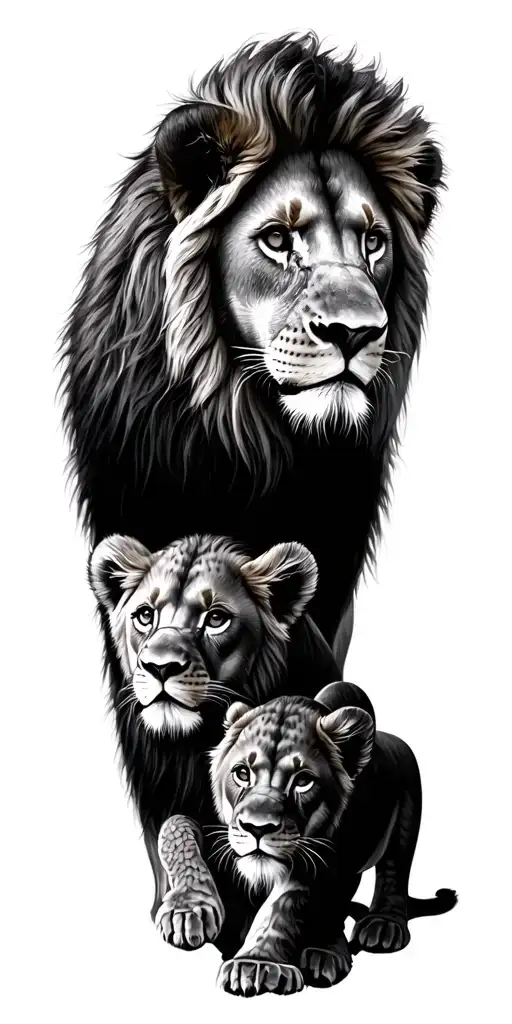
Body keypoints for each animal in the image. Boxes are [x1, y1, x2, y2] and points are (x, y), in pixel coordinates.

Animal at [88, 531, 340, 925]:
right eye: (145, 615)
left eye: (216, 617)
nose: (160, 667)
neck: (194, 745)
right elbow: (174, 828)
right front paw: (187, 905)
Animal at [158, 682, 454, 996]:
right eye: (242, 773)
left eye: (303, 781)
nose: (256, 828)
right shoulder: (222, 832)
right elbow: (175, 825)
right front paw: (186, 912)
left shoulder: (320, 860)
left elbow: (283, 906)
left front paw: (256, 963)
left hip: (406, 817)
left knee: (393, 873)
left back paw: (375, 929)